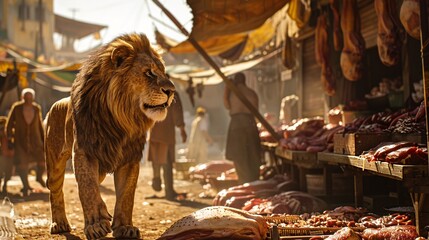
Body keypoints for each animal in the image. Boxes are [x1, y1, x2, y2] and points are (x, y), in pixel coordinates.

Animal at [44, 32, 174, 239]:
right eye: (149, 73)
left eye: (163, 73)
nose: (172, 91)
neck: (122, 120)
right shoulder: (85, 151)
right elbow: (88, 188)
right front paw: (96, 225)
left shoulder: (130, 158)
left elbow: (126, 196)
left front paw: (124, 227)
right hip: (55, 161)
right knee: (55, 190)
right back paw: (59, 224)